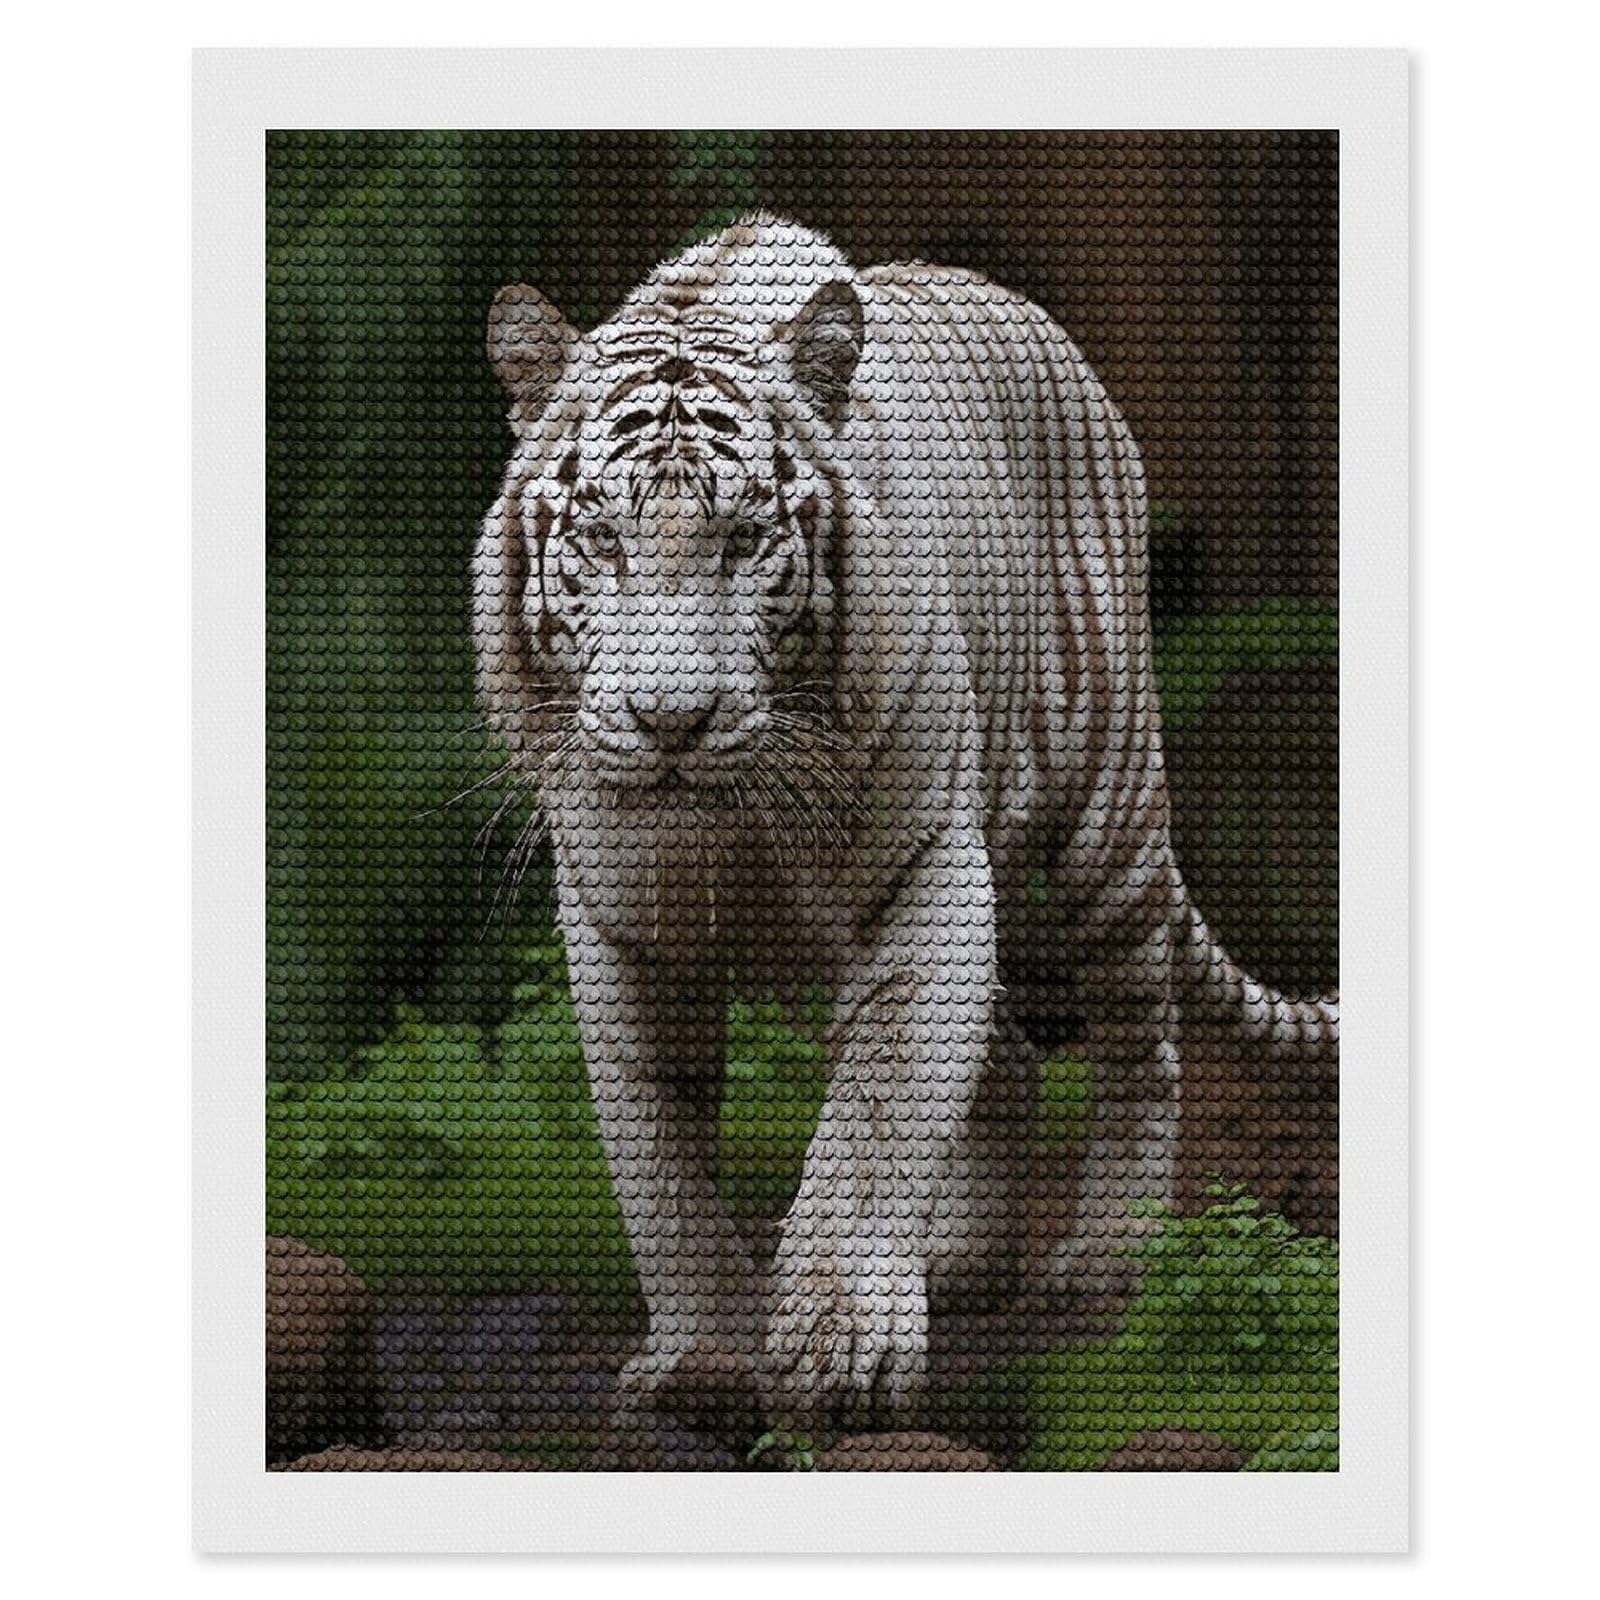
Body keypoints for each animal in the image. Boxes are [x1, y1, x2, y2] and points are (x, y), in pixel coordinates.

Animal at [472, 213, 1338, 1424]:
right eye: (602, 539)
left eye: (744, 539)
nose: (672, 720)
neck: (735, 830)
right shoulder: (619, 923)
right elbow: (658, 1152)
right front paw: (706, 1360)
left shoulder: (926, 869)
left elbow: (877, 1111)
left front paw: (841, 1351)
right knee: (1011, 1057)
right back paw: (960, 1262)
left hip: (1104, 815)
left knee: (1139, 1045)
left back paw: (1106, 1259)